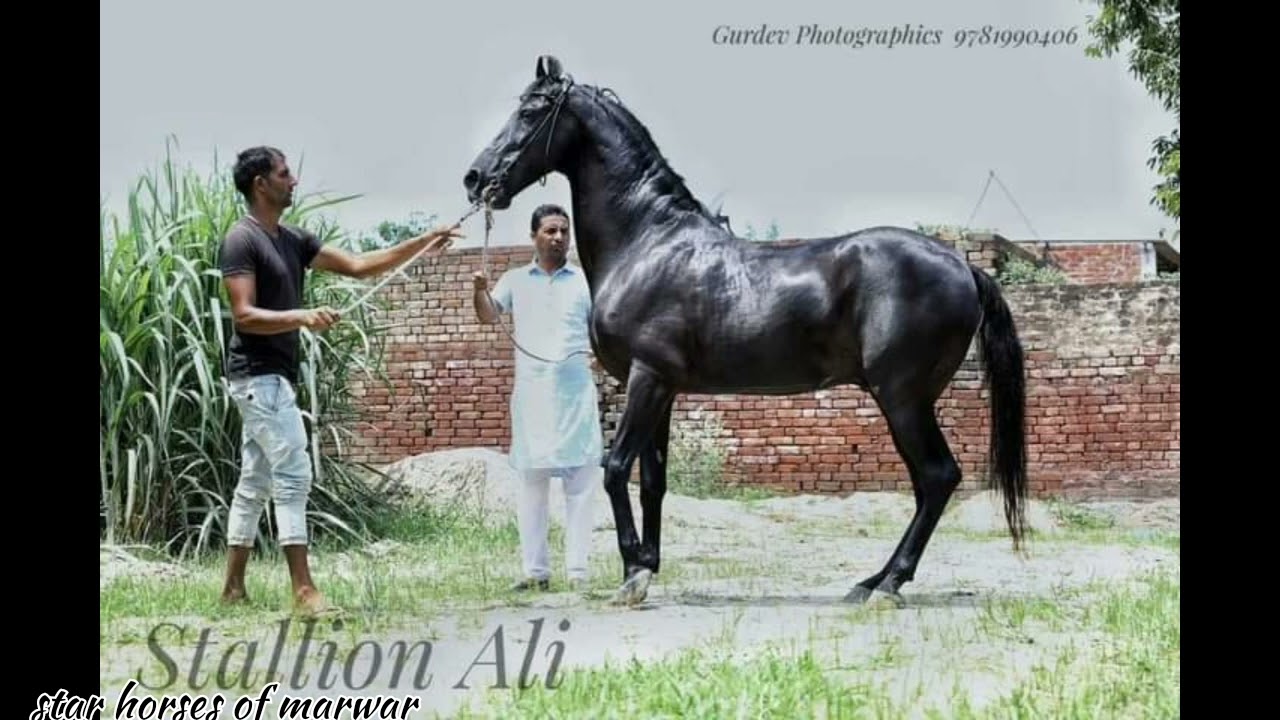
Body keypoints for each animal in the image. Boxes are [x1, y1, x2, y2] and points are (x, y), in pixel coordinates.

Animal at [463, 55, 1029, 608]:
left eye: (532, 111)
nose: (475, 178)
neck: (646, 243)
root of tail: (962, 266)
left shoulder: (646, 379)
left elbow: (616, 467)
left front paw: (630, 578)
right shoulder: (662, 388)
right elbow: (653, 481)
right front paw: (645, 567)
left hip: (902, 397)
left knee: (937, 476)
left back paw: (888, 586)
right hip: (903, 400)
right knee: (925, 483)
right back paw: (871, 582)